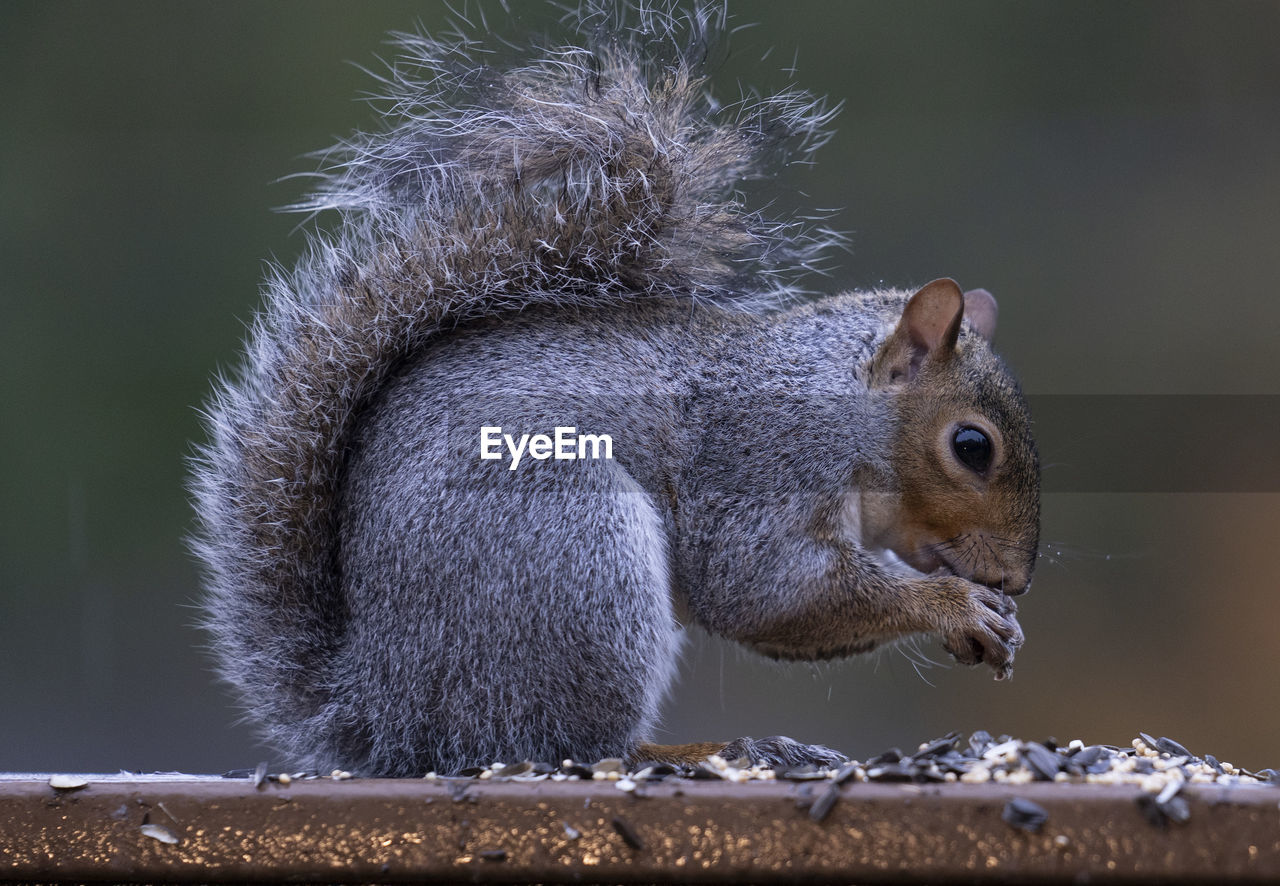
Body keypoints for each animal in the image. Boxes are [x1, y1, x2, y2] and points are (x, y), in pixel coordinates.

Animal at [194, 1, 1044, 773]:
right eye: (972, 446)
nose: (1014, 579)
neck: (837, 401)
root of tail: (388, 714)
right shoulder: (763, 463)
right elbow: (765, 591)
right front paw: (956, 607)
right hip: (574, 553)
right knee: (577, 745)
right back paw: (713, 749)